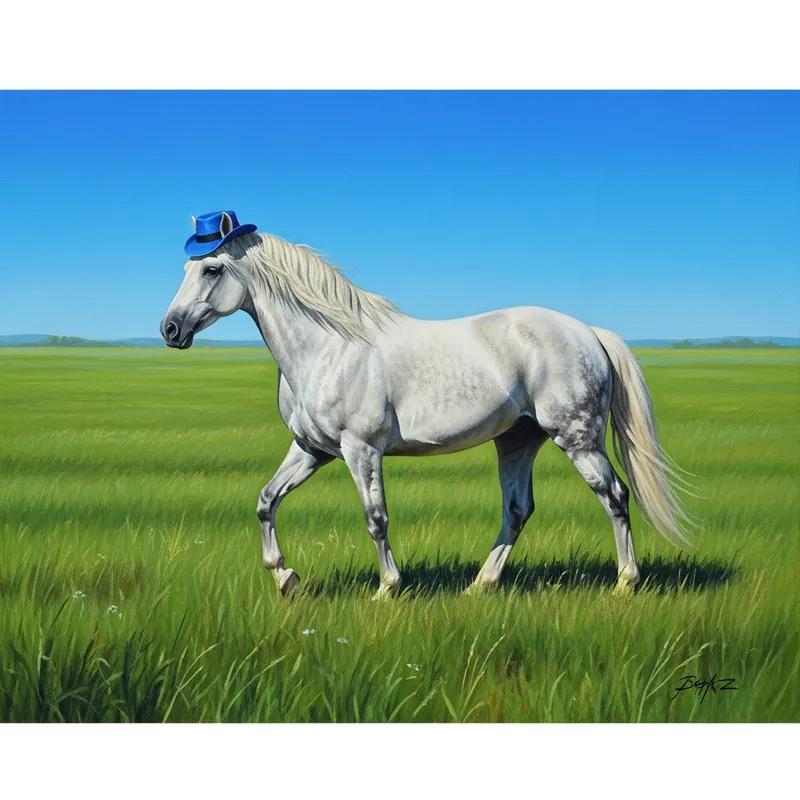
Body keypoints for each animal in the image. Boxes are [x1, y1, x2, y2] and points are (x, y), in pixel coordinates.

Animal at [160, 230, 693, 599]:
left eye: (211, 270)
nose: (169, 329)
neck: (329, 346)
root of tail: (590, 332)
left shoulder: (360, 449)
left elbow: (375, 517)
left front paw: (387, 589)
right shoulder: (312, 450)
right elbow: (266, 501)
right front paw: (286, 577)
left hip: (577, 438)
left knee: (615, 496)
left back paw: (625, 582)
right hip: (518, 440)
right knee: (518, 510)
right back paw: (482, 583)